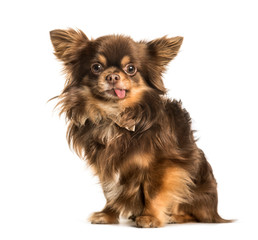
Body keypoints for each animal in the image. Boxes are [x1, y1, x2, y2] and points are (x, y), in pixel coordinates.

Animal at [50, 28, 230, 227]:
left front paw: (150, 217)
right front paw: (107, 214)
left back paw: (174, 217)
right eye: (96, 67)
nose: (112, 76)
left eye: (131, 69)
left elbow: (153, 192)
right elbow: (110, 191)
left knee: (196, 213)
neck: (115, 116)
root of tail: (215, 211)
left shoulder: (163, 165)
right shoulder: (107, 163)